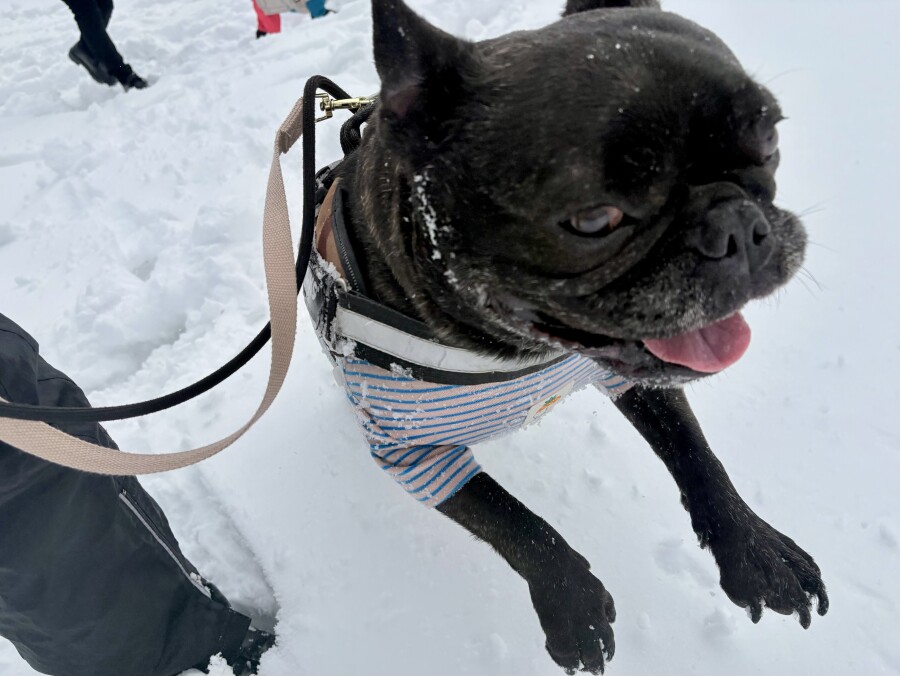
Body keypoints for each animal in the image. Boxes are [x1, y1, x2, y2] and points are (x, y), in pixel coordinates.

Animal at [307, 0, 829, 672]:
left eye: (770, 142)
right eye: (593, 219)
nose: (736, 225)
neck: (513, 352)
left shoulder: (635, 377)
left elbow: (696, 455)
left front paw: (753, 549)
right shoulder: (412, 449)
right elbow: (515, 525)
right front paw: (572, 604)